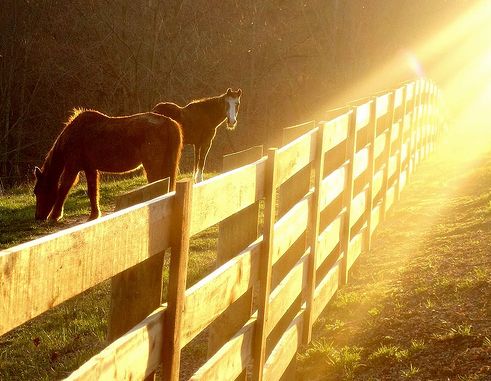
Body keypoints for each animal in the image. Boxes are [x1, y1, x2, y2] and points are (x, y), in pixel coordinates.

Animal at [33, 108, 183, 221]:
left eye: (37, 191)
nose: (38, 217)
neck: (74, 135)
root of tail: (168, 122)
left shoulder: (72, 168)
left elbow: (64, 188)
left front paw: (55, 215)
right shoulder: (90, 169)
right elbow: (92, 191)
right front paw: (94, 215)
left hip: (153, 165)